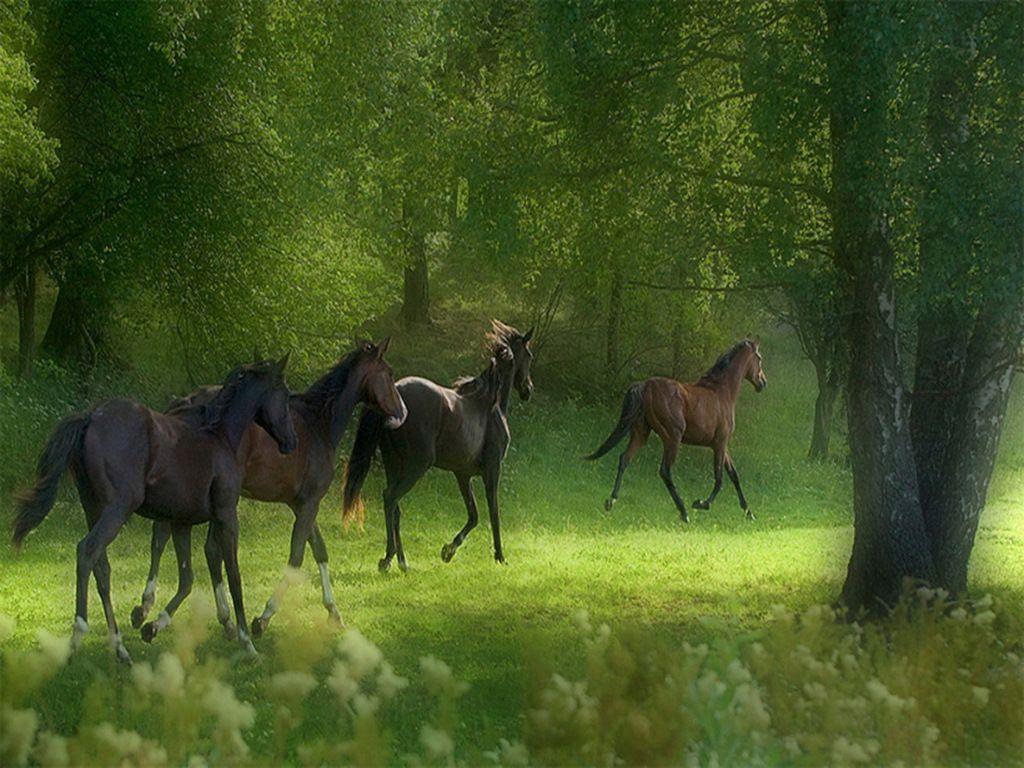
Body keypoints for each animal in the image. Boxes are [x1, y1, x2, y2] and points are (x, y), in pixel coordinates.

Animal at [12, 356, 298, 662]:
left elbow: (187, 577)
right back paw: (78, 636)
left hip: (93, 509)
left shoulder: (182, 523)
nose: (291, 442)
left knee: (102, 568)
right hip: (118, 509)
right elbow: (234, 576)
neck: (220, 438)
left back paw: (121, 649)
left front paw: (152, 625)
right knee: (86, 551)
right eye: (284, 394)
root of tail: (91, 417)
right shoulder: (226, 516)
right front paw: (247, 642)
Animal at [130, 340, 408, 642]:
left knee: (171, 540)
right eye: (389, 373)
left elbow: (320, 551)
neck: (318, 424)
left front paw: (333, 611)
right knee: (188, 544)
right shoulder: (310, 503)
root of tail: (183, 404)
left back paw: (162, 611)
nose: (402, 412)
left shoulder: (300, 504)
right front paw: (263, 618)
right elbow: (296, 557)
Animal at [342, 321, 533, 571]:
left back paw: (402, 562)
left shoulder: (463, 475)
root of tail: (395, 392)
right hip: (416, 465)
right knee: (390, 498)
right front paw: (500, 557)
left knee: (395, 507)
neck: (490, 405)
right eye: (529, 356)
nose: (528, 389)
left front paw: (448, 551)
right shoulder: (492, 470)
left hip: (393, 463)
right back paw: (388, 558)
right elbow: (493, 513)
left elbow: (474, 515)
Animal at [586, 339, 766, 522]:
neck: (722, 392)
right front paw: (701, 503)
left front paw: (749, 512)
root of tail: (645, 385)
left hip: (641, 434)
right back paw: (684, 512)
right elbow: (720, 477)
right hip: (673, 437)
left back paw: (611, 501)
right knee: (665, 471)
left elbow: (734, 475)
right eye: (759, 358)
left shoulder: (721, 445)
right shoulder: (720, 443)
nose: (762, 383)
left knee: (625, 459)